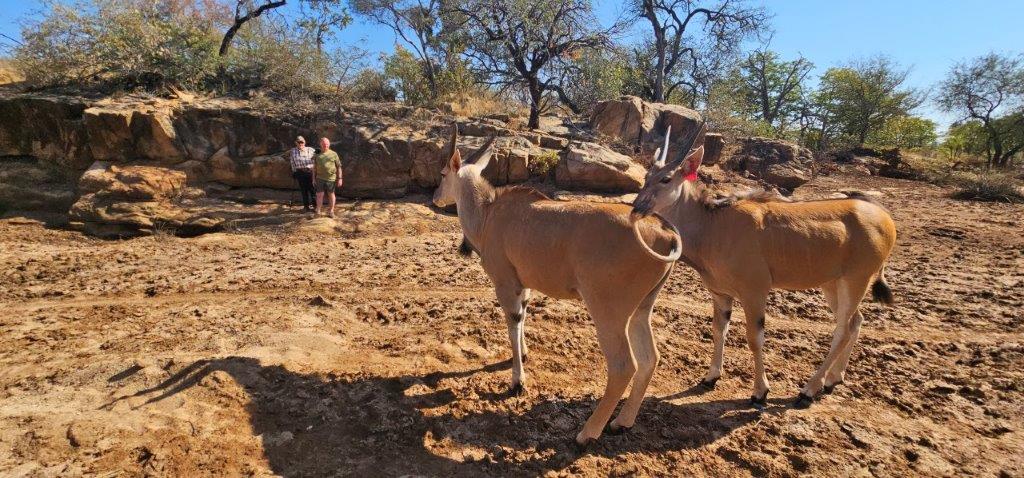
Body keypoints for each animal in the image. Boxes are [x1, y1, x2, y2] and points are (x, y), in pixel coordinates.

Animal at [432, 127, 683, 446]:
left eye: (442, 173)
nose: (435, 197)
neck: (489, 215)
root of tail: (666, 231)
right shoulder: (523, 286)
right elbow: (522, 318)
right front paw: (524, 355)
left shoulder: (505, 284)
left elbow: (512, 323)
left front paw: (517, 381)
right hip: (641, 309)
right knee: (650, 358)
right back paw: (622, 423)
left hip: (608, 313)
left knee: (624, 365)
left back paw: (587, 433)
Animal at [630, 124, 897, 408]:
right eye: (646, 176)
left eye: (666, 179)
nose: (637, 207)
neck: (714, 224)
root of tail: (885, 218)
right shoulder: (720, 294)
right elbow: (718, 330)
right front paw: (711, 377)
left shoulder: (755, 291)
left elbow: (754, 339)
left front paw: (760, 392)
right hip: (832, 284)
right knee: (856, 321)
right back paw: (834, 379)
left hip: (855, 280)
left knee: (843, 330)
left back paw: (808, 390)